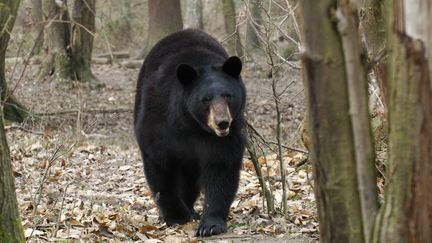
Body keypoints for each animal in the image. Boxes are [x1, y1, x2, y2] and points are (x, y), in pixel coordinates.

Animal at [133, 29, 245, 237]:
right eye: (206, 99)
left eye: (228, 95)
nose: (222, 123)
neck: (191, 125)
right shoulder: (159, 123)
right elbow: (161, 167)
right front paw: (176, 216)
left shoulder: (225, 137)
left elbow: (222, 167)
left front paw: (210, 225)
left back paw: (191, 208)